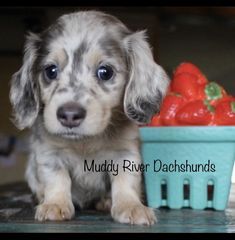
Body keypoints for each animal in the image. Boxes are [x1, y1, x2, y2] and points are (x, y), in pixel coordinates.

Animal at [9, 10, 169, 225]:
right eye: (51, 71)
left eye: (105, 72)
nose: (69, 115)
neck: (85, 142)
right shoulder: (49, 152)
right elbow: (57, 179)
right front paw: (55, 204)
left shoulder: (125, 154)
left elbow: (125, 181)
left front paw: (131, 206)